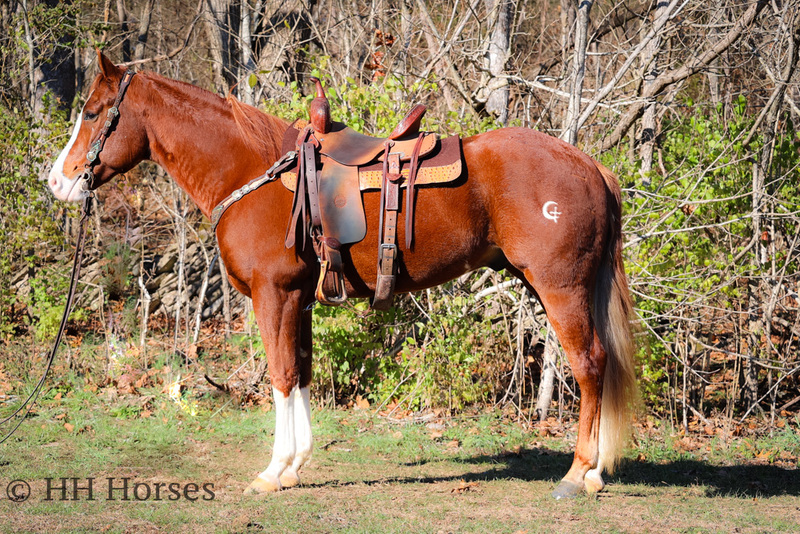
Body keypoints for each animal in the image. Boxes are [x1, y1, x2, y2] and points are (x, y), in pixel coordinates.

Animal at [50, 52, 636, 500]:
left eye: (93, 112)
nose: (58, 181)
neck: (250, 171)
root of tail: (591, 166)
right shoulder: (299, 299)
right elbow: (303, 372)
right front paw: (294, 465)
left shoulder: (274, 295)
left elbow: (281, 375)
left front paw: (272, 471)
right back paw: (593, 474)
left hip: (561, 289)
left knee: (589, 366)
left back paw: (578, 474)